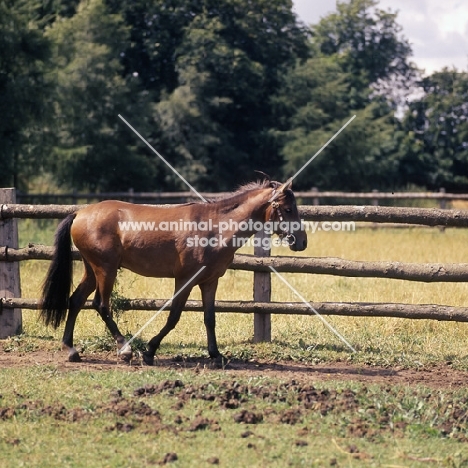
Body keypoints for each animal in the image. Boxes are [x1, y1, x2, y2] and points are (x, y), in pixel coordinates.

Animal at [41, 177, 308, 364]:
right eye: (287, 209)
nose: (301, 241)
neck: (215, 228)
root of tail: (80, 213)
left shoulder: (209, 281)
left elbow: (209, 318)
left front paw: (216, 355)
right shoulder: (185, 280)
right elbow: (173, 317)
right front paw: (149, 351)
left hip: (92, 269)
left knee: (76, 300)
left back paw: (71, 349)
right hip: (105, 270)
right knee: (102, 305)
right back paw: (125, 349)